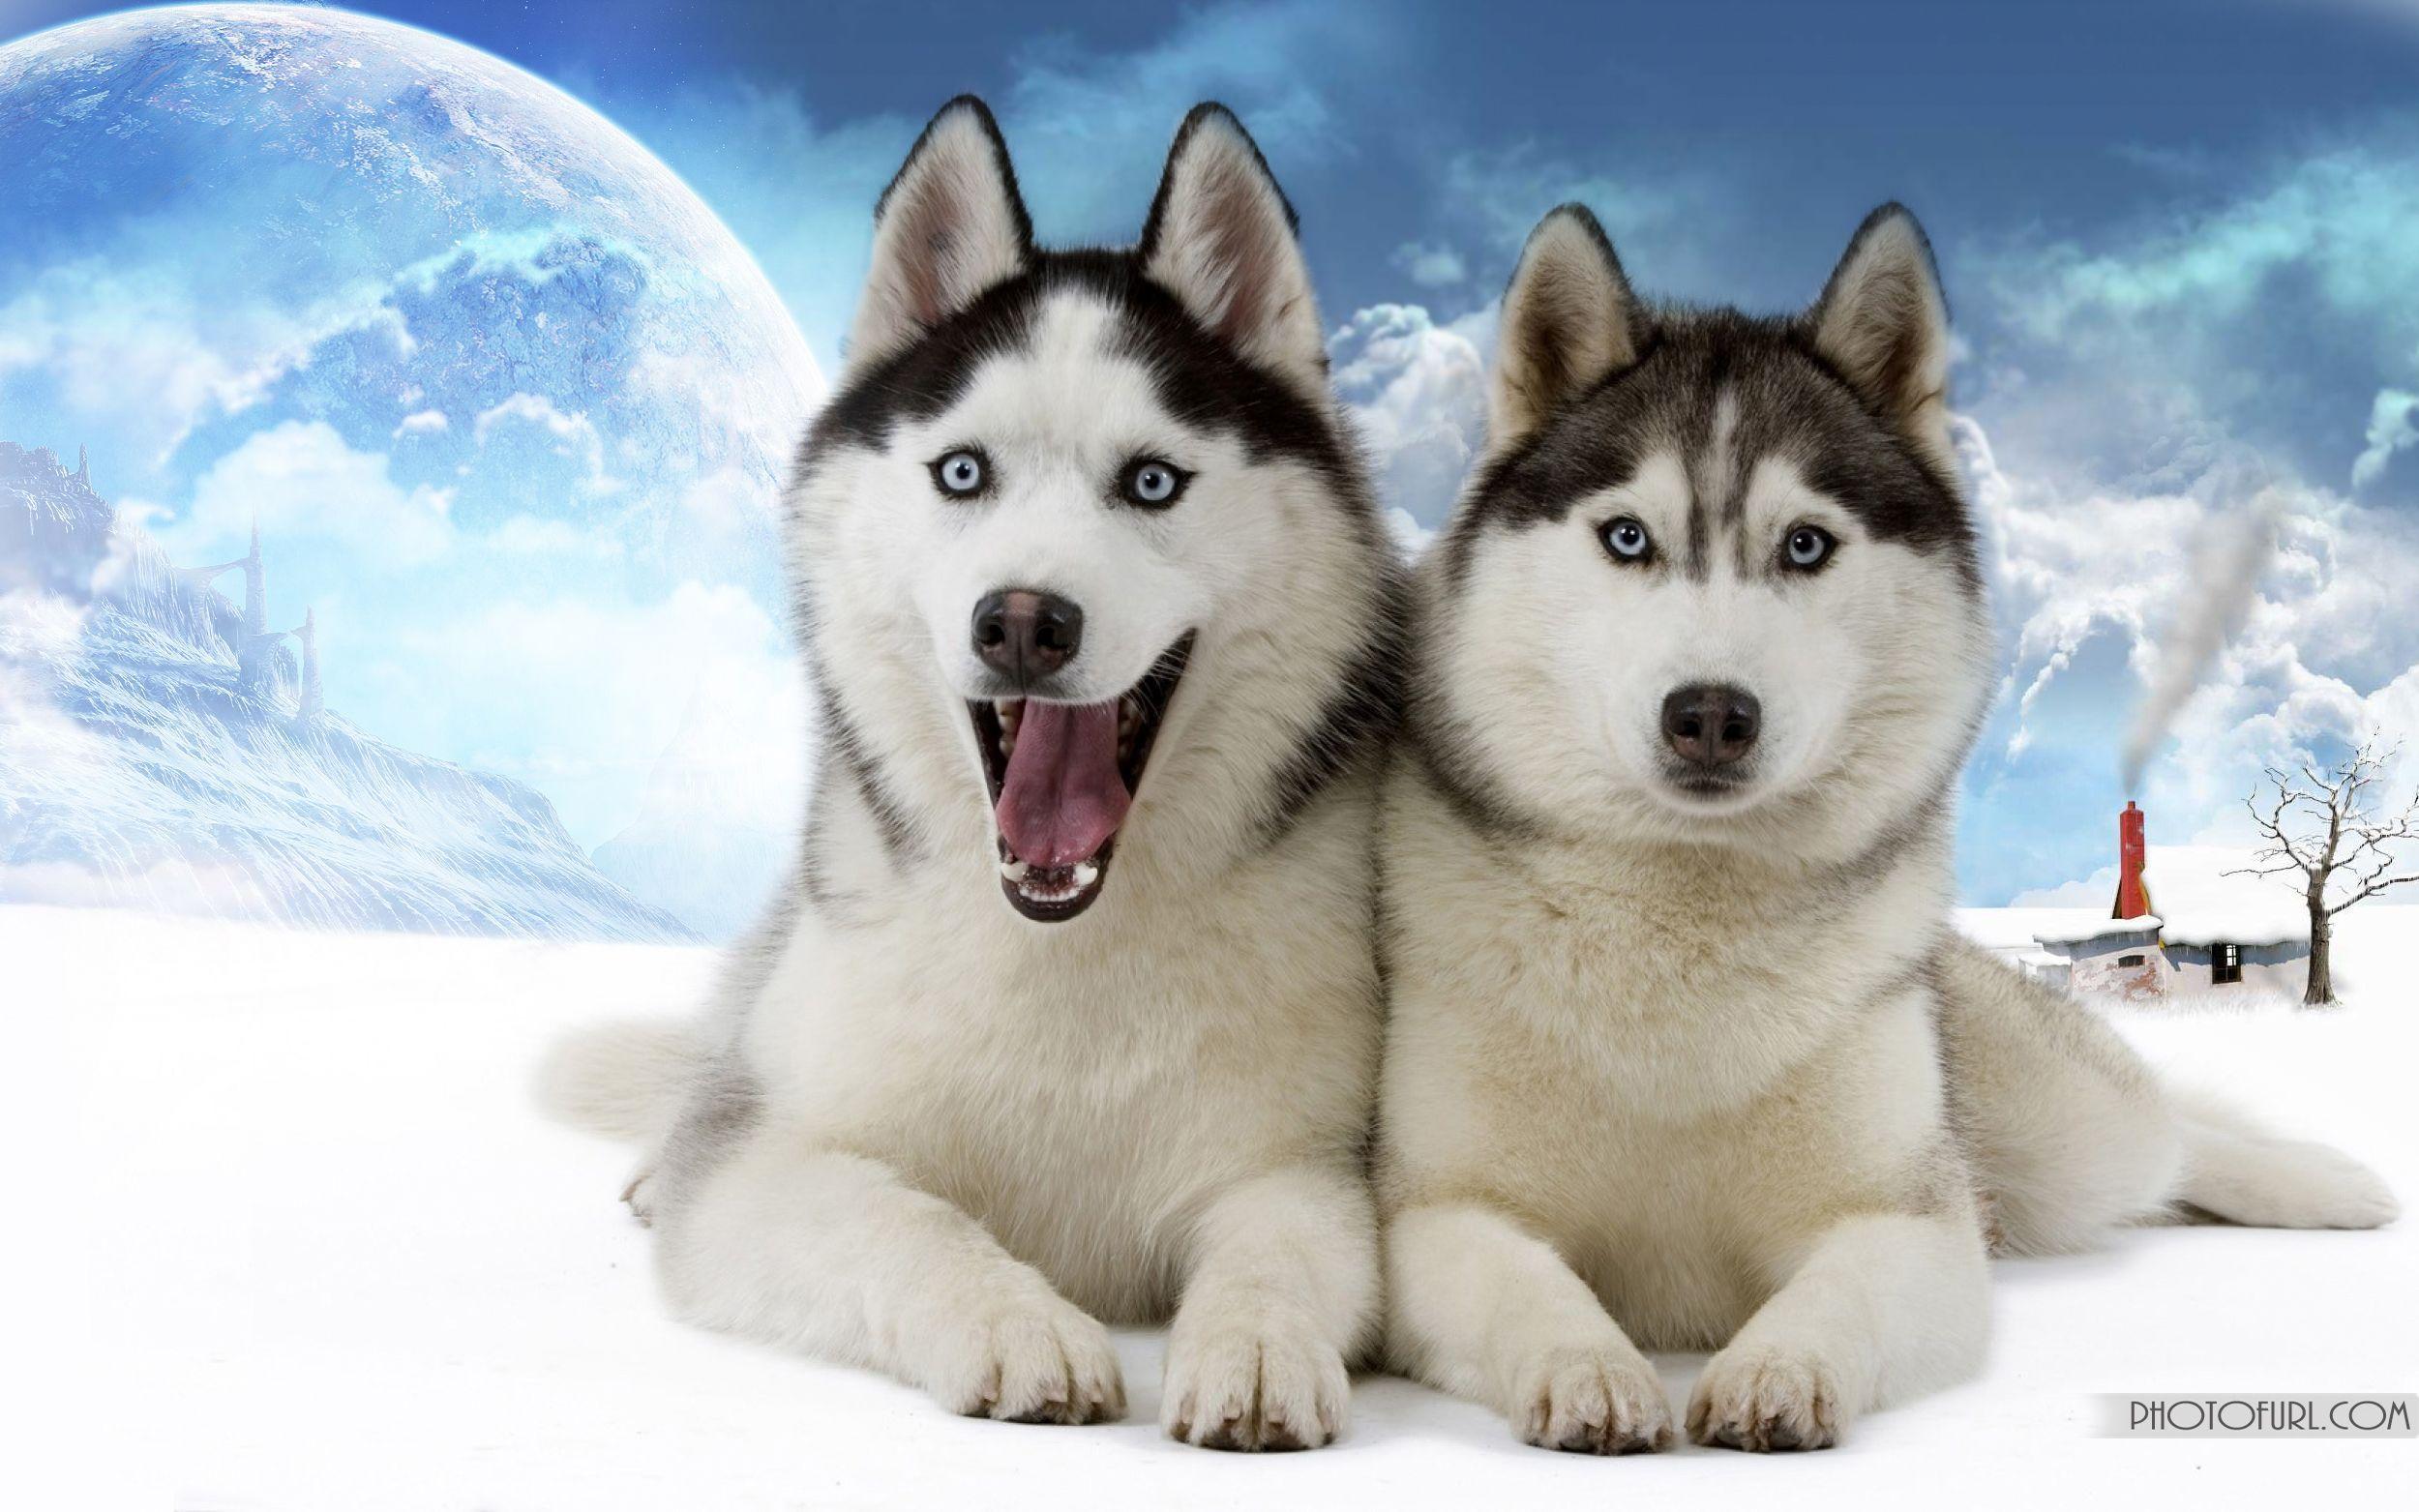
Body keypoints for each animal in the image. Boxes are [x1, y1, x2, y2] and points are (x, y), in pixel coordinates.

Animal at [539, 97, 1402, 1450]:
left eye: (1150, 480)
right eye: (961, 471)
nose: (1024, 623)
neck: (1062, 949)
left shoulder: (1304, 1166)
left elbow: (1274, 1246)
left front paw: (1256, 1346)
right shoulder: (765, 1165)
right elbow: (895, 1218)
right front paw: (1014, 1322)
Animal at [1373, 202, 2398, 1453]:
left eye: (1806, 544)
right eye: (1625, 538)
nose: (1709, 715)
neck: (1682, 934)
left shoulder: (1906, 1216)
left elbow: (1845, 1292)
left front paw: (1779, 1369)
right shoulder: (1432, 1213)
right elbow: (1522, 1283)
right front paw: (1588, 1368)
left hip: (2049, 1126)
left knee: (2164, 1138)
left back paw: (2325, 1185)